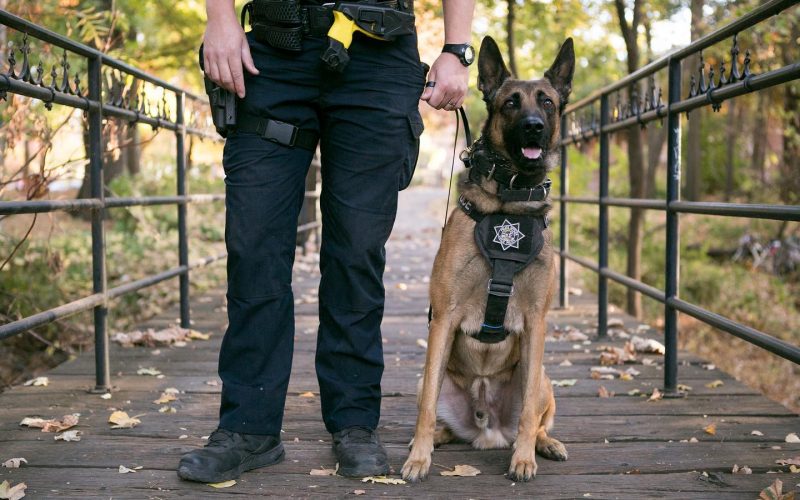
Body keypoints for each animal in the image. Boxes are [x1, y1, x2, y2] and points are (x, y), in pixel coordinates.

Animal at [404, 34, 572, 480]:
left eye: (547, 102)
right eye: (511, 102)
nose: (533, 126)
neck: (509, 201)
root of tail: (487, 427)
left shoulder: (536, 322)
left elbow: (529, 412)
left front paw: (524, 459)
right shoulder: (444, 318)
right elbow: (426, 410)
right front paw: (418, 459)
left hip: (542, 375)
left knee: (537, 417)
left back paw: (544, 444)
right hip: (427, 377)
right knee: (437, 416)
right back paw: (429, 441)